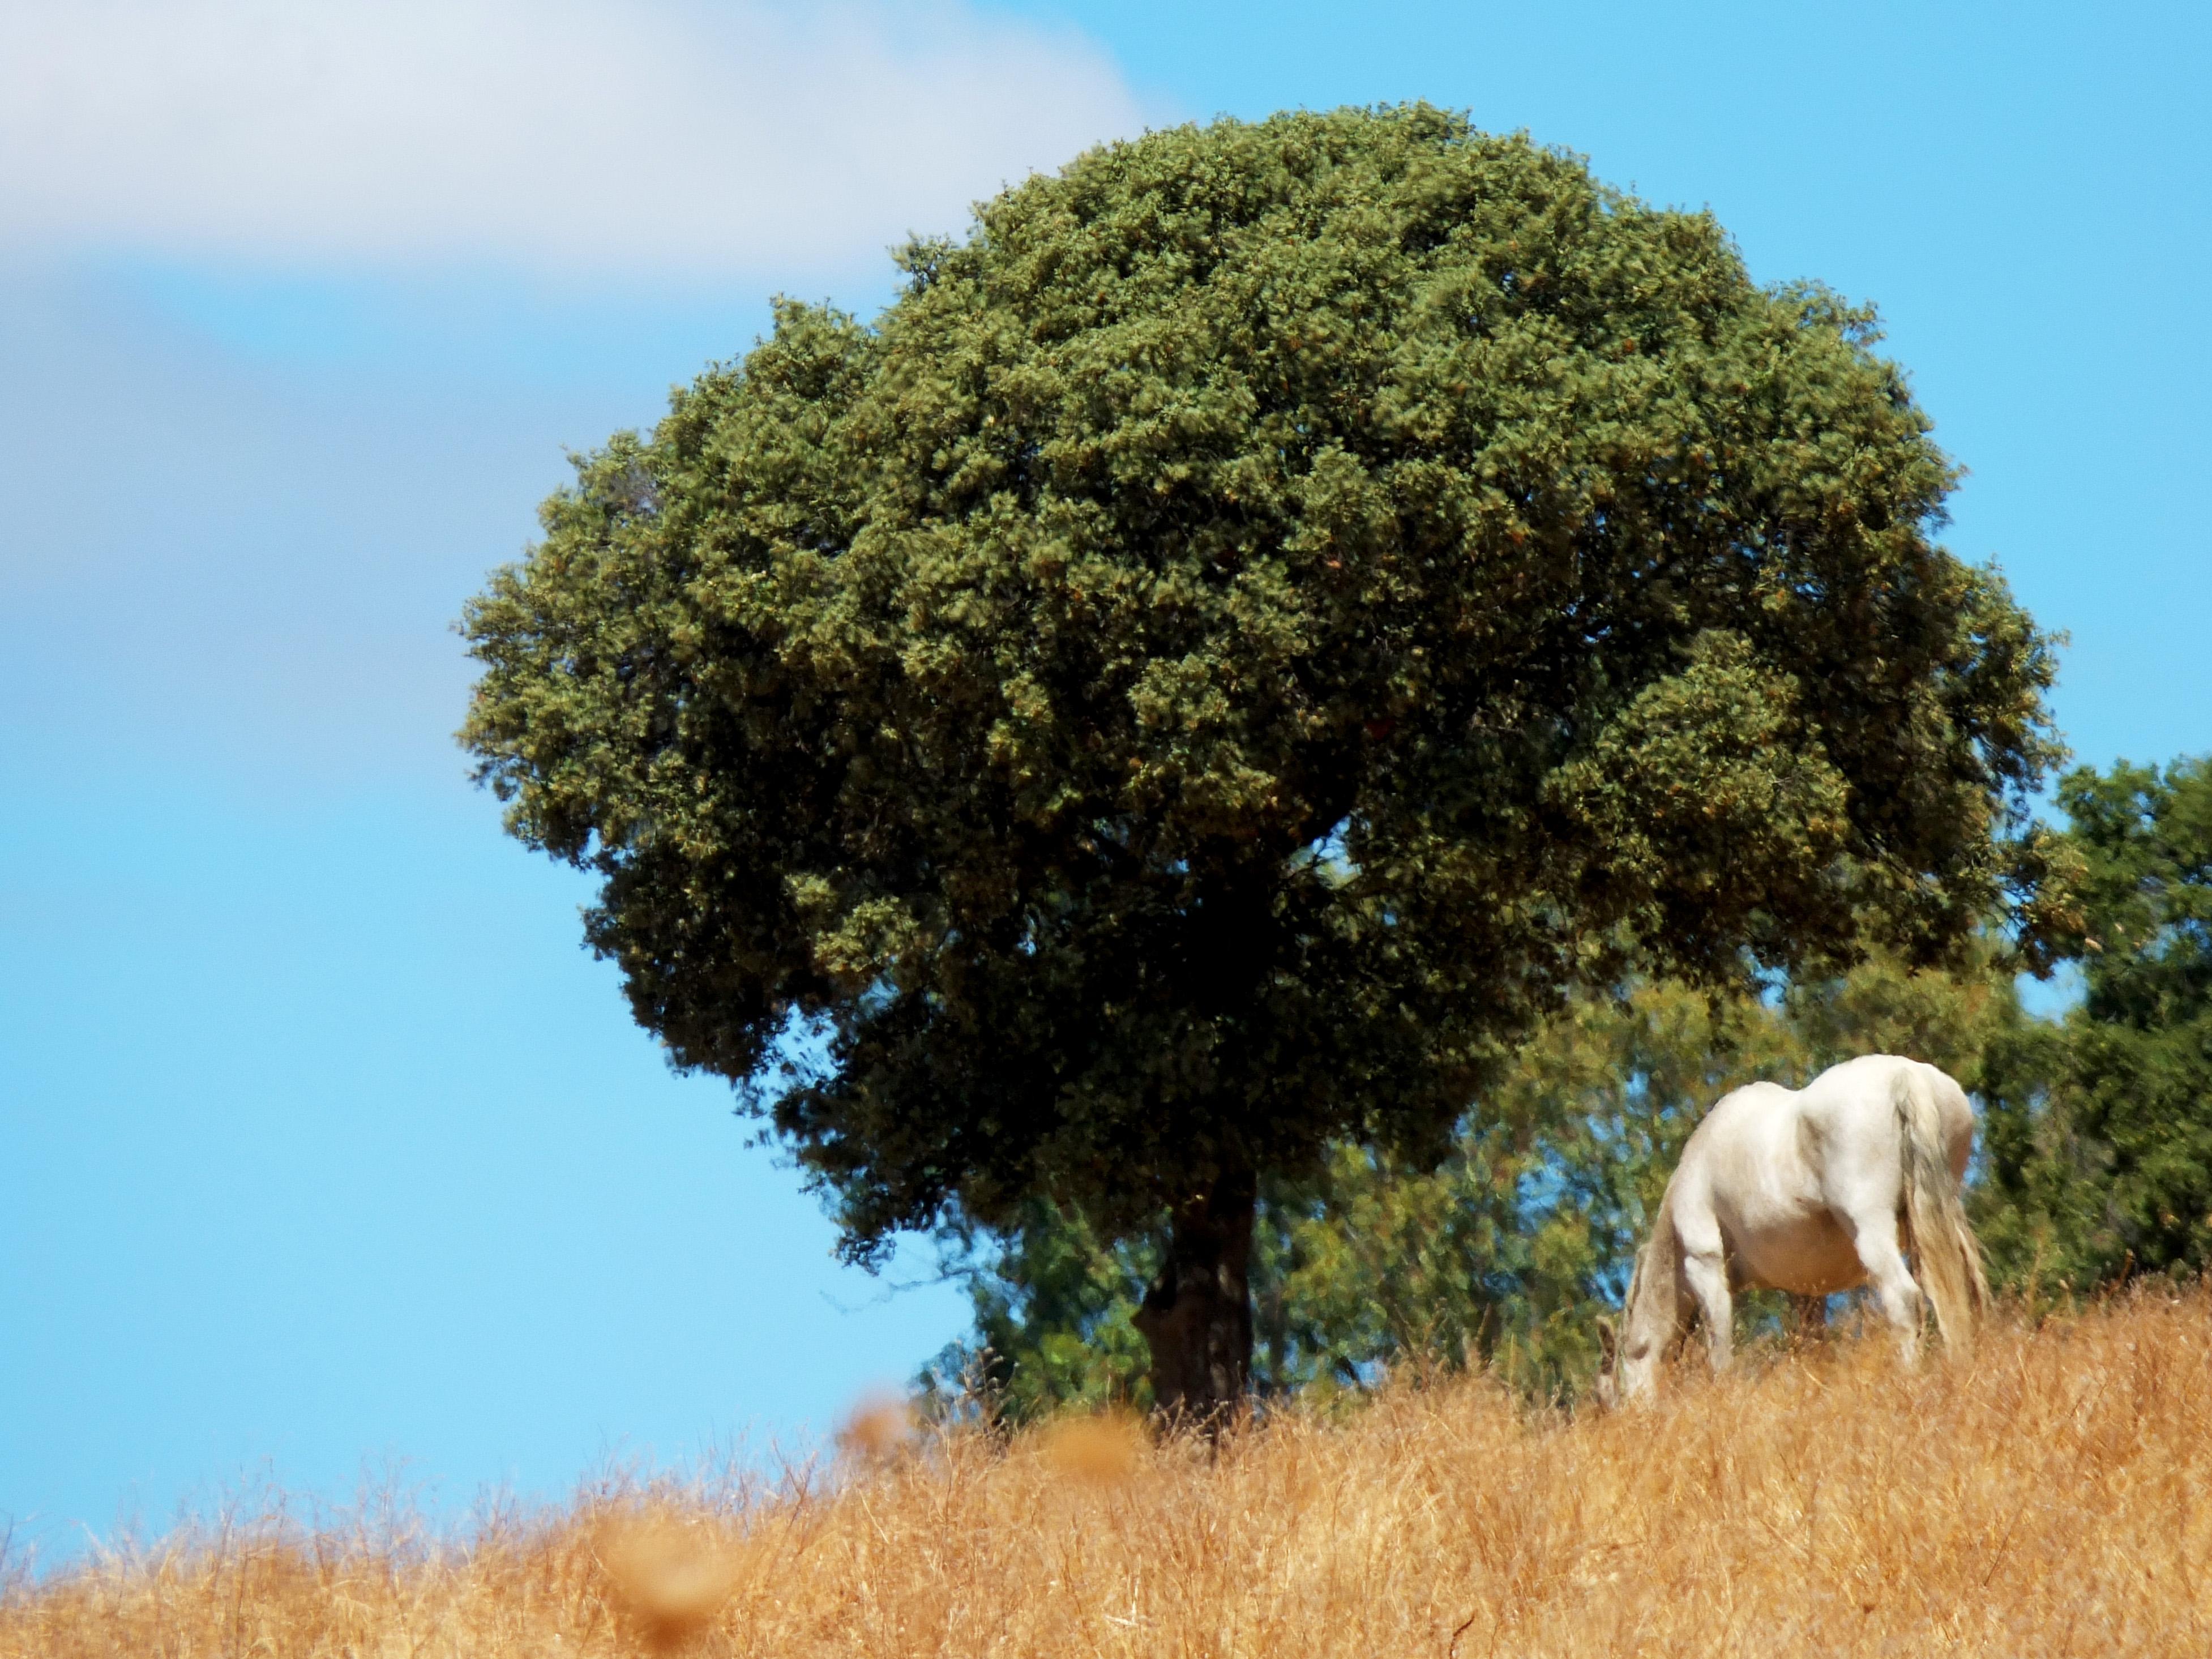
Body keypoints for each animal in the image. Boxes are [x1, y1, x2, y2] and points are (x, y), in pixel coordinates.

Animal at [1593, 1057, 1991, 1406]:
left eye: (1607, 1397)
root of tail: (1905, 1077)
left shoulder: (1704, 1266)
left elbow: (1719, 1350)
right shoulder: (1807, 1290)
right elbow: (1813, 1344)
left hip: (1872, 1231)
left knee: (1905, 1300)